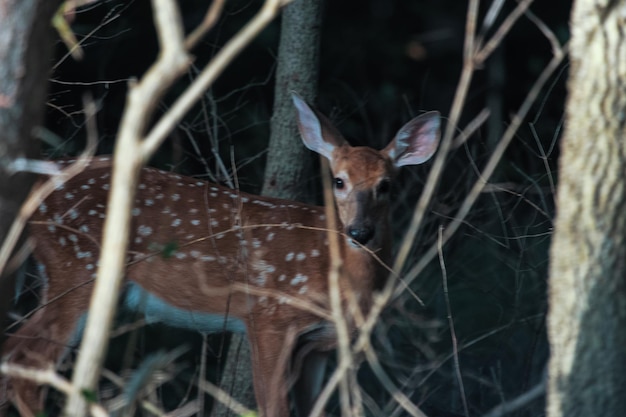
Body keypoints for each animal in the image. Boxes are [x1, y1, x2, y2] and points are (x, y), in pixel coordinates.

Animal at [0, 94, 438, 416]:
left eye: (386, 185)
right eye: (339, 181)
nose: (360, 232)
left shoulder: (319, 344)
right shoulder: (269, 316)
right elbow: (272, 406)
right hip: (76, 266)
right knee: (27, 361)